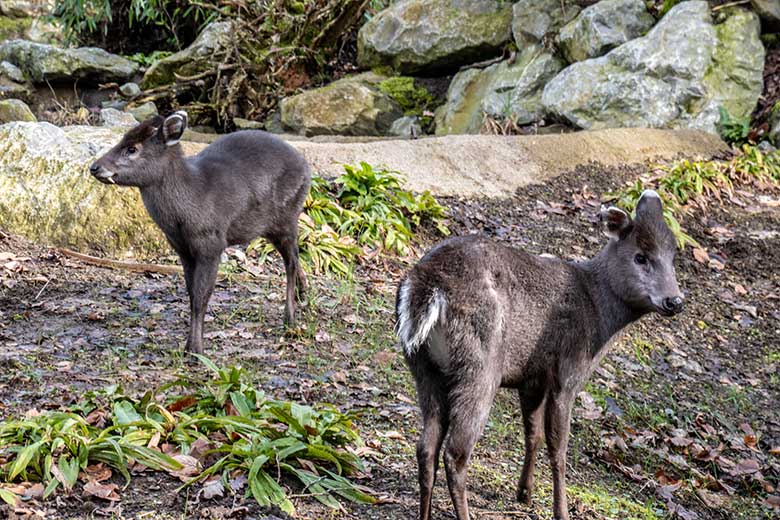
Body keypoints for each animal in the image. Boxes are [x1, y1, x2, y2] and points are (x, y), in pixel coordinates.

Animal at [91, 110, 310, 354]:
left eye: (132, 148)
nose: (95, 167)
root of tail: (306, 166)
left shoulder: (211, 243)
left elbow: (201, 296)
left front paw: (195, 349)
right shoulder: (182, 248)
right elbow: (191, 292)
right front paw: (190, 346)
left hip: (287, 216)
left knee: (291, 262)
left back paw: (290, 319)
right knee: (295, 258)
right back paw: (303, 295)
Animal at [396, 192, 684, 520]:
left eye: (672, 257)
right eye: (640, 256)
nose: (675, 301)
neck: (598, 314)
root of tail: (426, 286)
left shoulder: (532, 378)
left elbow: (532, 434)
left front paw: (525, 493)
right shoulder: (567, 373)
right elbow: (558, 447)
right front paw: (561, 511)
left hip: (424, 367)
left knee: (426, 447)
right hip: (479, 367)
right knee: (455, 452)